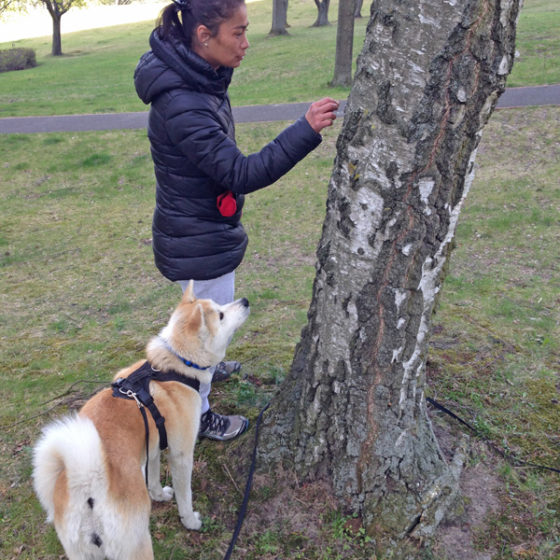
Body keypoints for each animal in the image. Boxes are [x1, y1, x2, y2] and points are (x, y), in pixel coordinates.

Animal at [31, 280, 248, 560]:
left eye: (219, 306)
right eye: (220, 314)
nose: (245, 301)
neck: (174, 366)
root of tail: (86, 484)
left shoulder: (152, 446)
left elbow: (154, 477)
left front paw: (159, 495)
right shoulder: (180, 455)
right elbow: (184, 496)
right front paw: (190, 521)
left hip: (81, 551)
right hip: (137, 545)